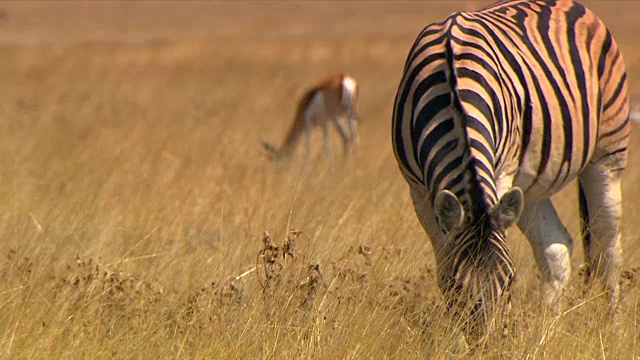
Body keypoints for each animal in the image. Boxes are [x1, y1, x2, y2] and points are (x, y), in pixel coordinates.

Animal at [390, 0, 632, 342]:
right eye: (457, 286)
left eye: (509, 282)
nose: (484, 345)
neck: (452, 91)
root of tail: (575, 6)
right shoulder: (418, 190)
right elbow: (443, 256)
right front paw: (456, 340)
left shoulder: (501, 171)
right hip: (529, 187)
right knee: (556, 248)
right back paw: (544, 335)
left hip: (607, 152)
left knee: (607, 247)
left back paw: (612, 329)